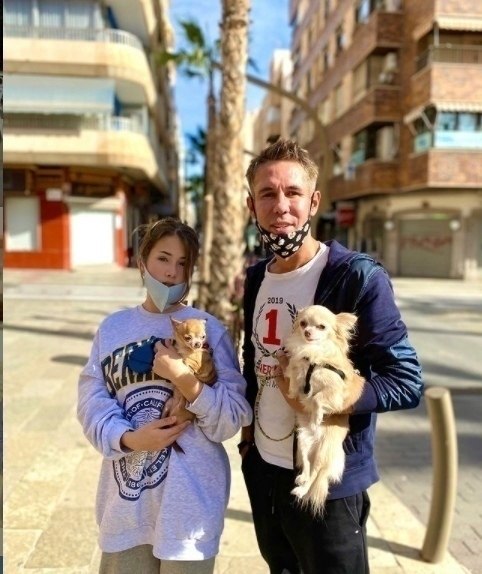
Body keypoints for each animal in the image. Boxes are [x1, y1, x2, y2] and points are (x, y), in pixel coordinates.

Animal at [283, 305, 365, 515]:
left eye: (321, 327)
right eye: (303, 324)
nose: (307, 332)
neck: (313, 354)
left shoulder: (335, 390)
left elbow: (318, 398)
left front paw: (317, 416)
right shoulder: (297, 368)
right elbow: (294, 376)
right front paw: (293, 392)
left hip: (323, 451)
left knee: (316, 472)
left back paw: (302, 490)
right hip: (303, 441)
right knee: (307, 465)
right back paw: (302, 479)